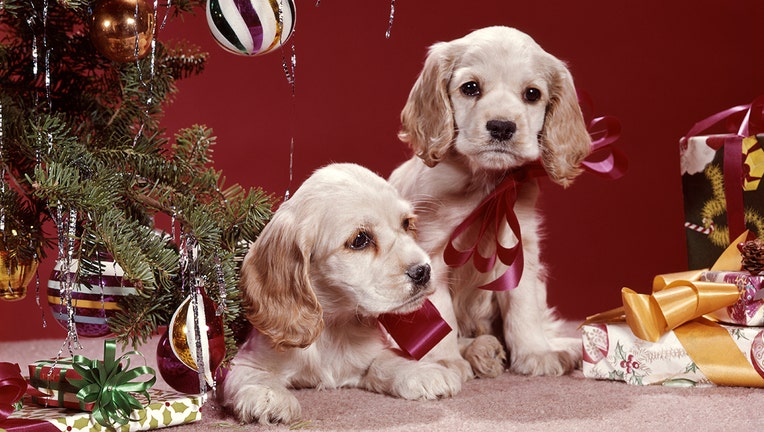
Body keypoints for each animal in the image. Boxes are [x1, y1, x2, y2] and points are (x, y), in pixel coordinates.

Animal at [221, 163, 460, 426]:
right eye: (360, 239)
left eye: (406, 223)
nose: (423, 271)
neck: (334, 327)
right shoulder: (244, 361)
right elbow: (254, 376)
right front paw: (268, 395)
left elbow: (385, 360)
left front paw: (423, 371)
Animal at [388, 26, 592, 378]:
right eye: (470, 88)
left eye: (532, 94)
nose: (501, 126)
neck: (485, 185)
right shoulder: (431, 256)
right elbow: (441, 318)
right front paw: (445, 361)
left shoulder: (519, 248)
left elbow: (523, 309)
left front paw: (536, 353)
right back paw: (481, 351)